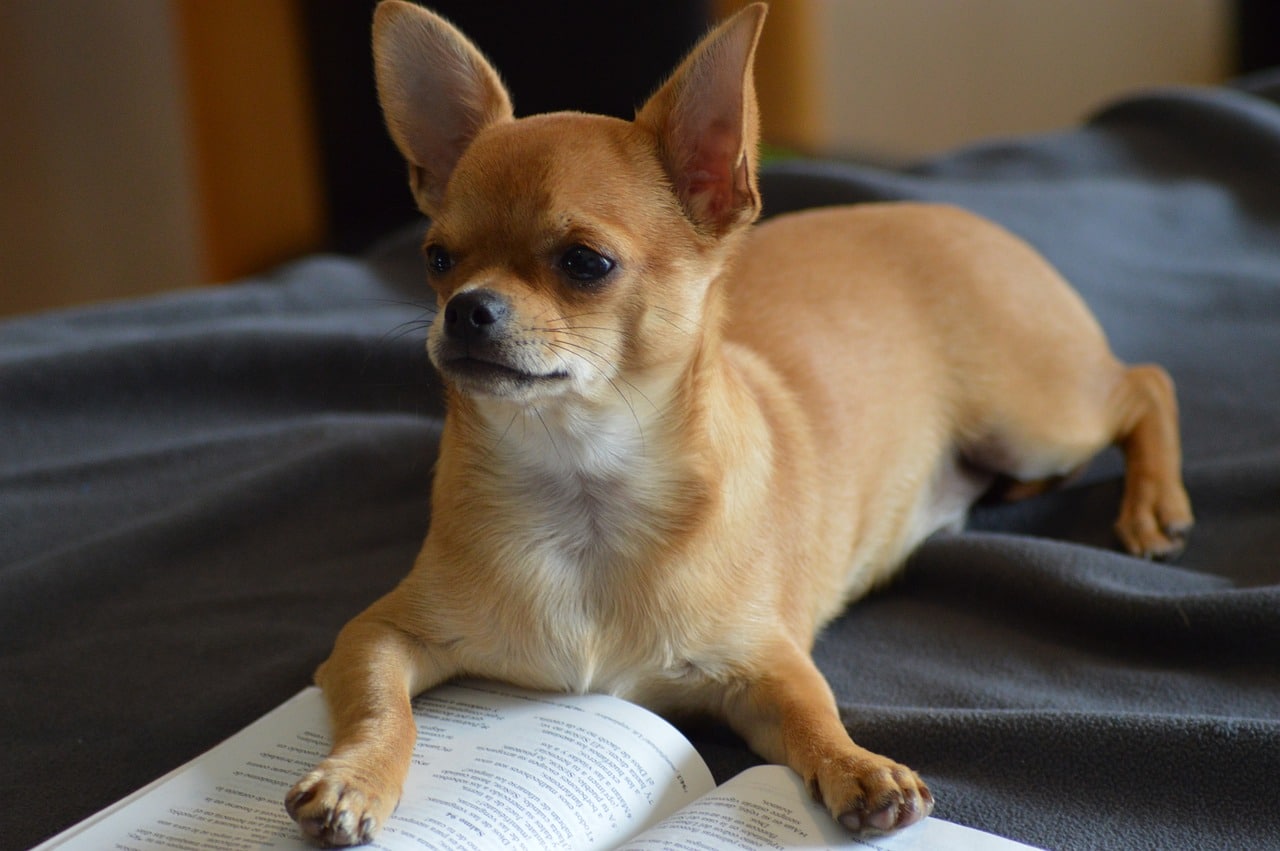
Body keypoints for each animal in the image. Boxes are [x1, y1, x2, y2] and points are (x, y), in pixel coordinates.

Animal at [285, 3, 1192, 844]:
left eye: (585, 263)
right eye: (437, 259)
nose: (466, 309)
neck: (583, 487)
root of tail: (961, 217)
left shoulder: (765, 668)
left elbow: (814, 713)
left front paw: (857, 766)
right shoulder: (375, 636)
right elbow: (383, 710)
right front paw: (355, 776)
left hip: (1035, 412)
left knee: (1145, 385)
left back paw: (1154, 504)